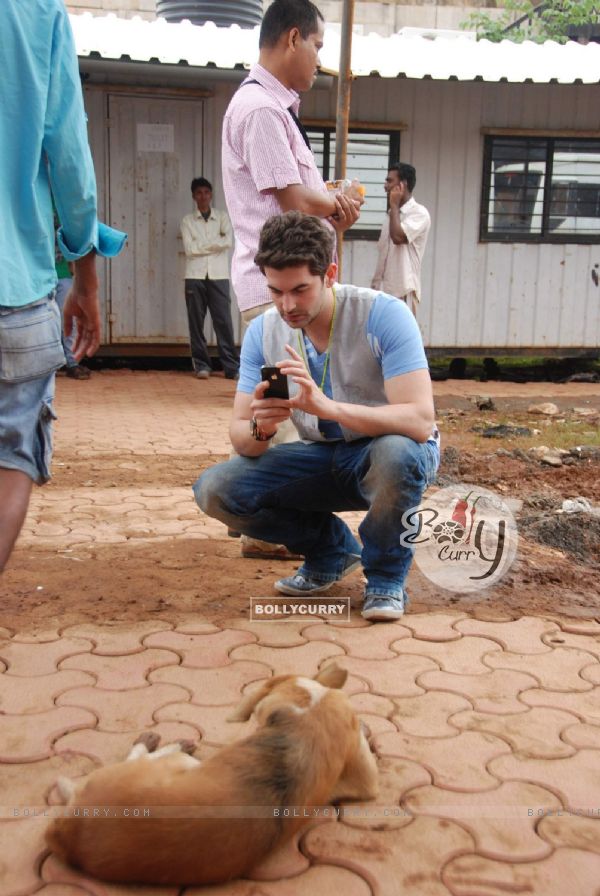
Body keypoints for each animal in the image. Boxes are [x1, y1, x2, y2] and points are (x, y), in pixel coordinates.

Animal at [47, 660, 378, 884]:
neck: (310, 702)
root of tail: (67, 832)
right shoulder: (364, 779)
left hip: (174, 765)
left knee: (146, 754)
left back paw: (162, 741)